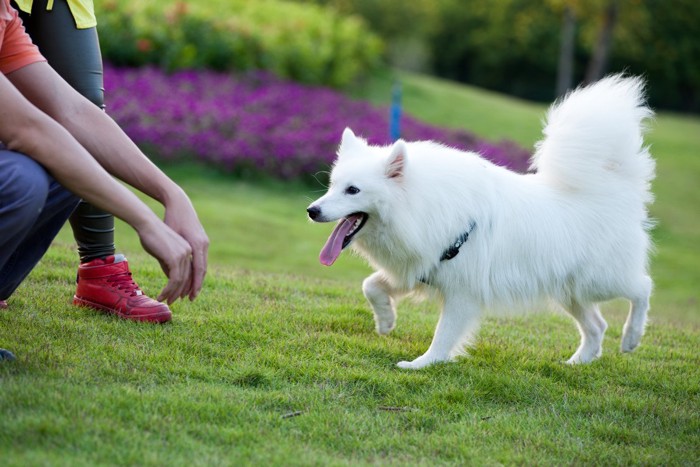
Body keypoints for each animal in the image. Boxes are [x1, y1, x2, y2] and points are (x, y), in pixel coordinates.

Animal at [308, 76, 656, 370]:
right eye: (332, 185)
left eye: (353, 190)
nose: (312, 210)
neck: (423, 205)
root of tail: (611, 188)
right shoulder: (419, 267)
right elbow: (371, 286)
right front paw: (385, 321)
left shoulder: (462, 292)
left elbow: (443, 335)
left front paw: (422, 364)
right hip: (570, 290)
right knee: (597, 326)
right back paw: (578, 363)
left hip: (601, 279)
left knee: (642, 287)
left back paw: (631, 337)